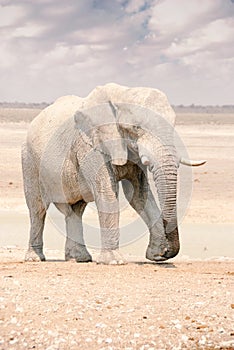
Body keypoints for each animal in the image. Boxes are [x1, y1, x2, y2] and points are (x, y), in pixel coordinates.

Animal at [22, 83, 205, 264]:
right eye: (136, 127)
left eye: (174, 124)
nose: (168, 252)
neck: (122, 93)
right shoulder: (91, 147)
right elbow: (107, 192)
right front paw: (114, 261)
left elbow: (138, 195)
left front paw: (157, 255)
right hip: (29, 161)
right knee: (38, 209)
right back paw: (35, 258)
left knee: (75, 210)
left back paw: (79, 258)